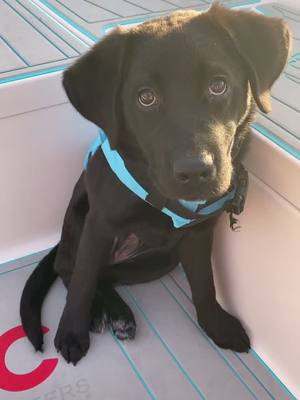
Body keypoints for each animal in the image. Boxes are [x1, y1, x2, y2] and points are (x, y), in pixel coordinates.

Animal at [20, 3, 290, 366]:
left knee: (106, 274)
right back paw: (99, 311)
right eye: (145, 98)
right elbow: (81, 281)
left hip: (159, 260)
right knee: (70, 268)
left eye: (218, 86)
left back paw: (117, 312)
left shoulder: (199, 234)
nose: (195, 172)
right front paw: (72, 332)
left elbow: (205, 282)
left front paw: (215, 324)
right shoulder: (99, 224)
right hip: (78, 218)